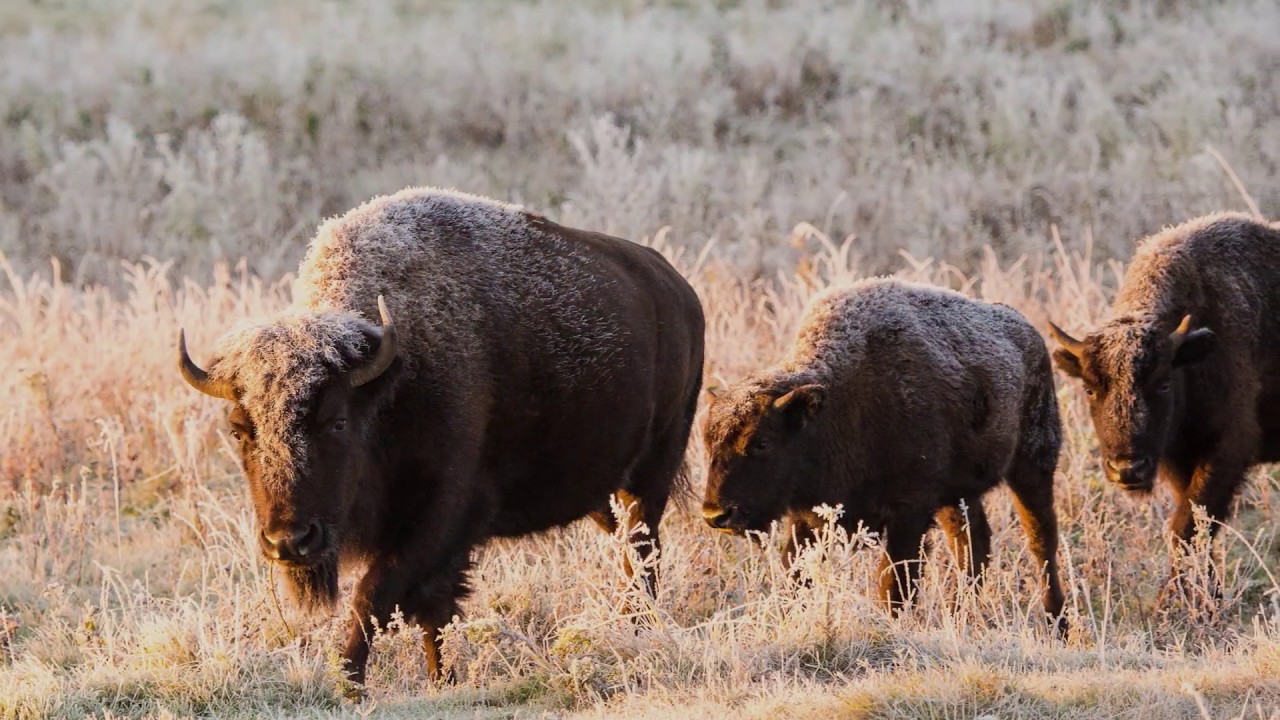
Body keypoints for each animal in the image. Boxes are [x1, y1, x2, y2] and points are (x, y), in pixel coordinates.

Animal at [178, 187, 705, 688]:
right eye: (239, 430)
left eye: (338, 422)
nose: (289, 541)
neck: (390, 379)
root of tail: (680, 291)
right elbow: (432, 613)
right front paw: (439, 678)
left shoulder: (444, 518)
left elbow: (375, 598)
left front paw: (348, 684)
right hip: (602, 493)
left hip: (651, 472)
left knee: (642, 552)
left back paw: (639, 627)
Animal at [702, 279, 1066, 627]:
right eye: (708, 443)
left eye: (762, 442)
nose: (716, 515)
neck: (839, 403)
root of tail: (1030, 334)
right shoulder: (808, 518)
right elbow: (796, 576)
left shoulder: (910, 511)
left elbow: (895, 586)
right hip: (958, 495)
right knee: (972, 543)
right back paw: (961, 614)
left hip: (1033, 464)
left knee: (1041, 539)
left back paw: (1056, 620)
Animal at [1047, 213, 1279, 592]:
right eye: (1090, 389)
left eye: (1165, 383)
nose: (1128, 469)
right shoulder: (1176, 459)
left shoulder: (1227, 451)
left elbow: (1189, 525)